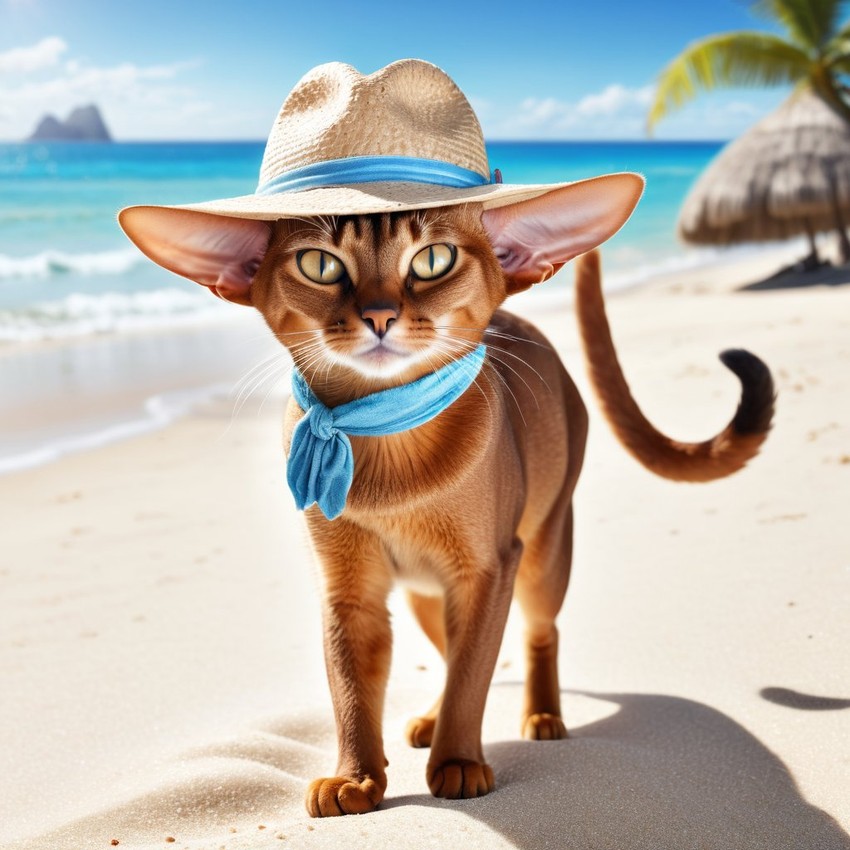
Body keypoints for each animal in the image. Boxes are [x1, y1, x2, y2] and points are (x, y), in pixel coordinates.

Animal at [119, 187, 776, 816]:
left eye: (433, 260)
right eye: (319, 265)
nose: (379, 316)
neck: (388, 446)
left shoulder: (486, 571)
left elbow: (471, 678)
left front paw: (458, 762)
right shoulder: (350, 590)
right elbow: (355, 687)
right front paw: (355, 777)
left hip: (540, 557)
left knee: (537, 634)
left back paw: (541, 715)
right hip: (424, 594)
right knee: (449, 653)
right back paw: (431, 721)